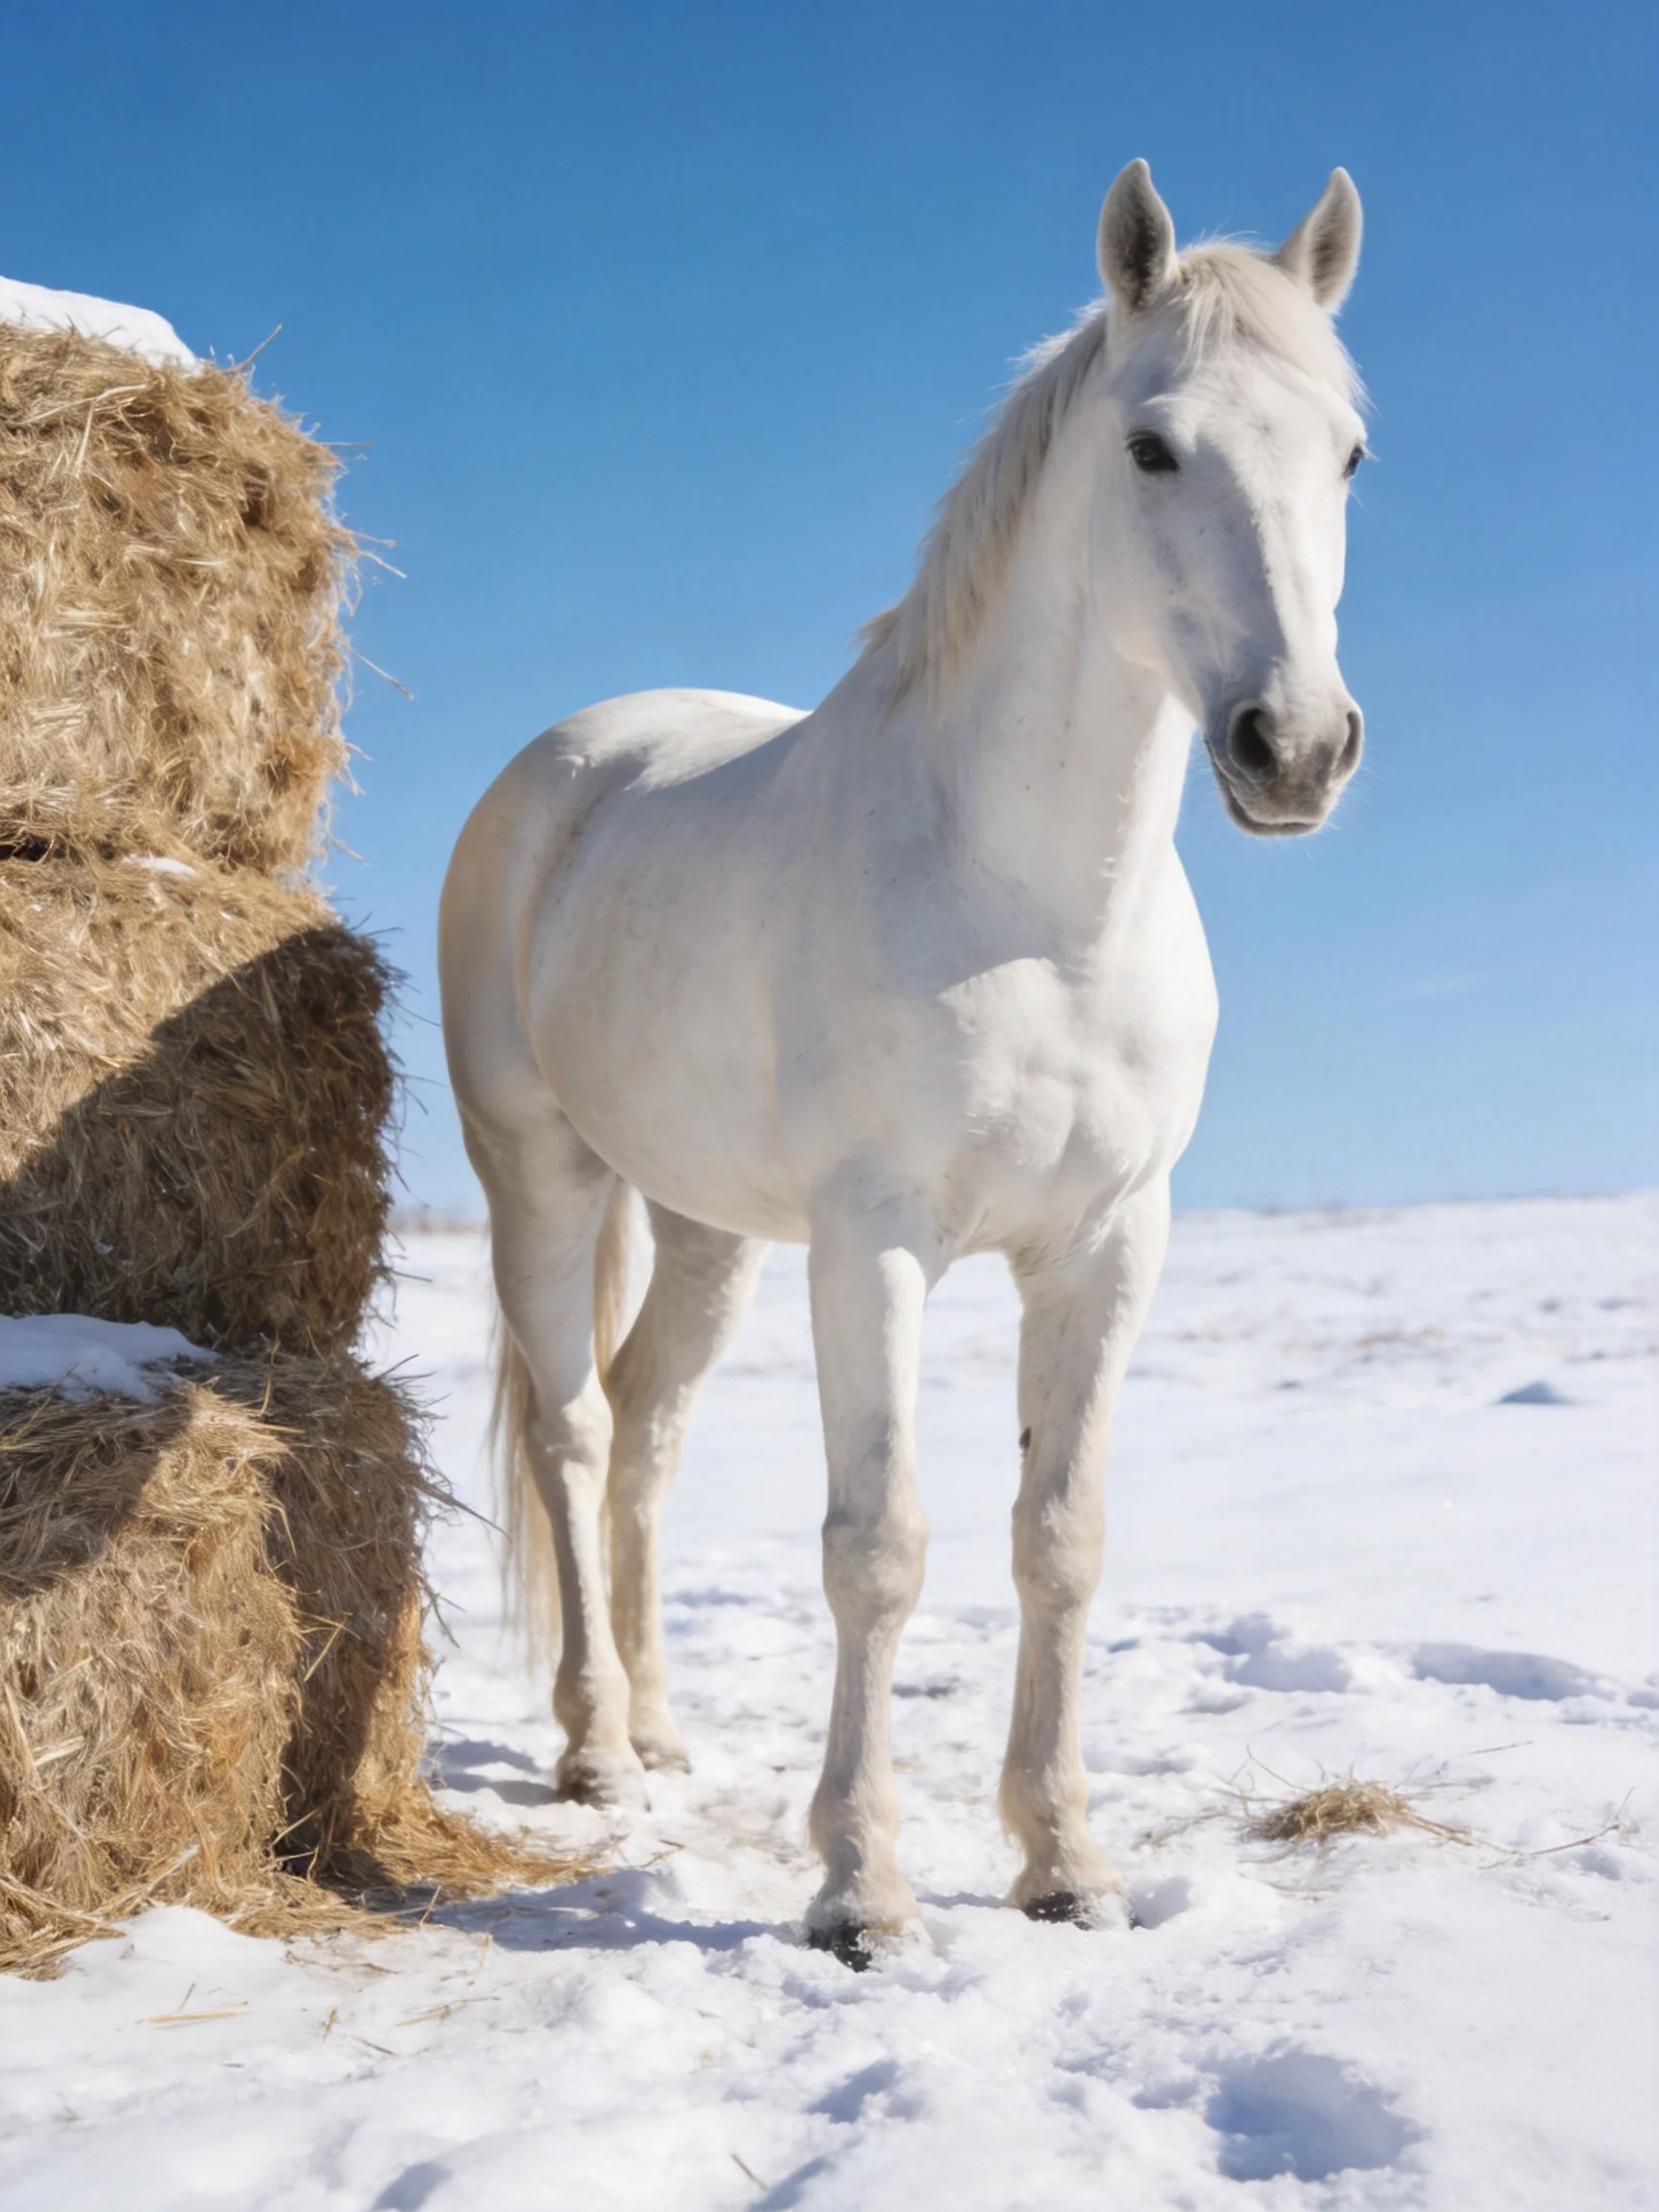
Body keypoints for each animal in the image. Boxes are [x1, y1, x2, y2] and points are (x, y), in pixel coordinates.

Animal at [440, 160, 1368, 1966]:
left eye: (1350, 451)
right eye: (1152, 446)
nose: (1293, 749)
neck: (1030, 905)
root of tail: (569, 764)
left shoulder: (1106, 1244)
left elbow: (1058, 1539)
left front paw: (1062, 1863)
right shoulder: (874, 1247)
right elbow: (877, 1546)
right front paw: (860, 1892)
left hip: (710, 1229)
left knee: (646, 1429)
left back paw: (661, 1724)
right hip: (542, 1176)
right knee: (573, 1432)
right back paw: (596, 1747)